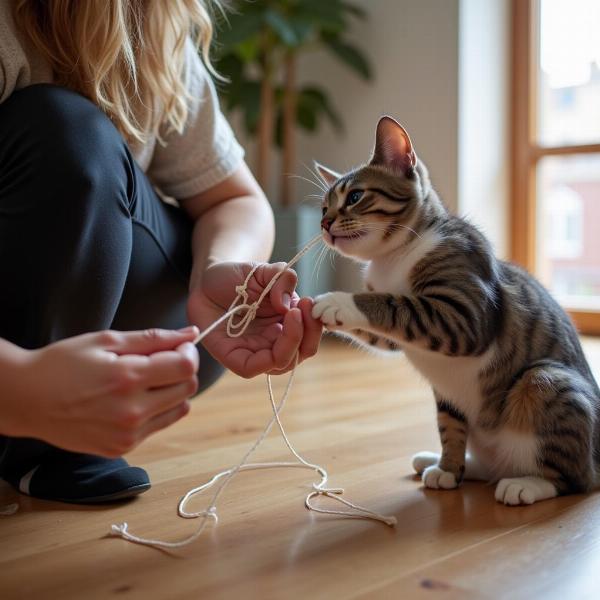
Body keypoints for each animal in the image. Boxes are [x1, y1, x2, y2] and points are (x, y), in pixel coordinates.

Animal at [312, 115, 596, 504]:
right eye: (324, 207)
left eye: (355, 197)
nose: (324, 224)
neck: (392, 260)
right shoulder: (403, 339)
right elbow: (389, 335)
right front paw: (448, 469)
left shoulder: (462, 315)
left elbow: (392, 304)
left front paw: (334, 300)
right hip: (449, 398)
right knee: (465, 436)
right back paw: (443, 463)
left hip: (546, 382)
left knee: (572, 478)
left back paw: (527, 484)